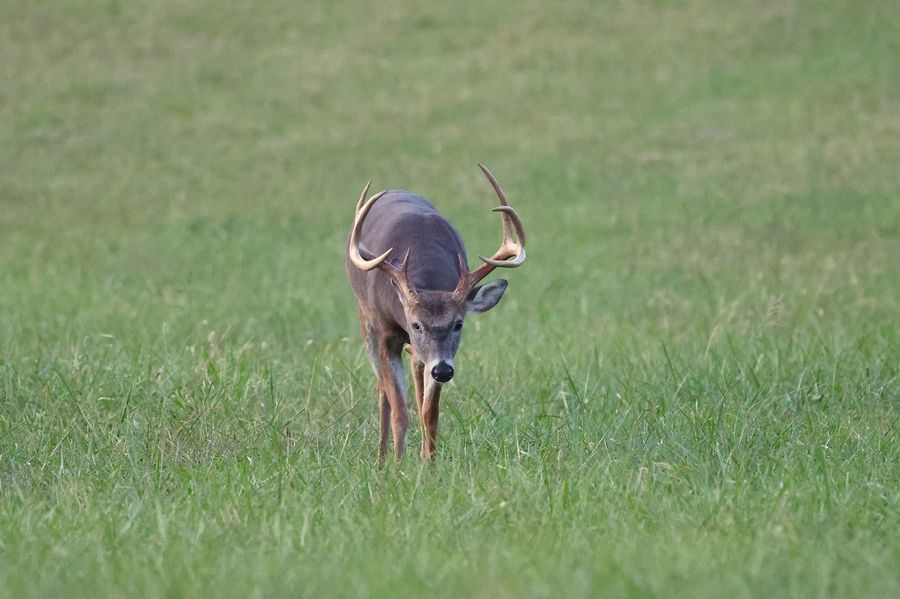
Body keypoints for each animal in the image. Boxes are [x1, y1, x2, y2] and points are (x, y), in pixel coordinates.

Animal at [345, 164, 526, 460]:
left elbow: (430, 412)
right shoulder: (385, 334)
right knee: (381, 388)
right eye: (416, 324)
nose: (443, 371)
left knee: (416, 372)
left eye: (458, 323)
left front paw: (428, 463)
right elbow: (400, 411)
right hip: (366, 320)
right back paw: (381, 458)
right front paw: (397, 463)